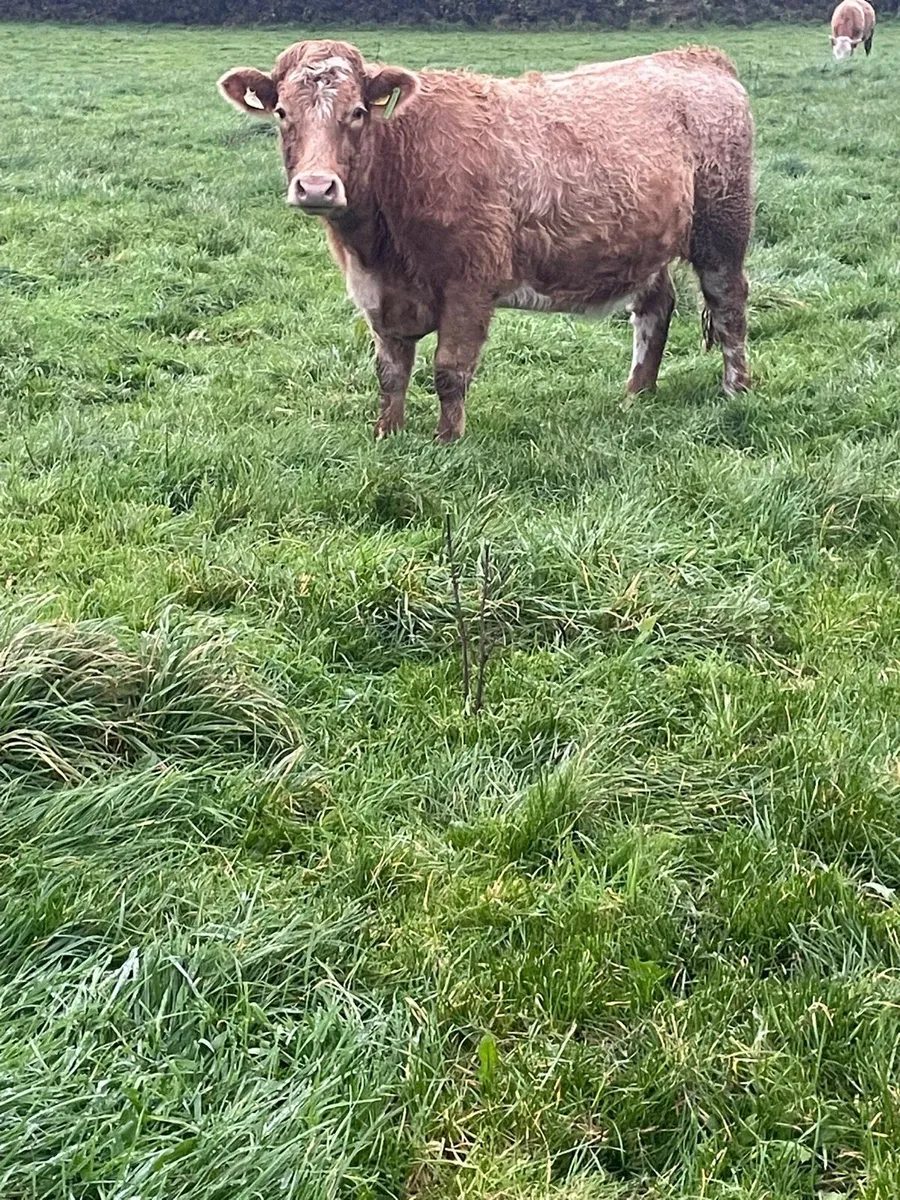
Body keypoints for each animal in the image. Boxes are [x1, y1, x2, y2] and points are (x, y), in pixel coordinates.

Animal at [219, 41, 754, 442]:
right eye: (282, 112)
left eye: (356, 112)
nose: (315, 187)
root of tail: (697, 56)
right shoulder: (378, 294)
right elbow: (391, 373)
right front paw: (387, 435)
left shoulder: (469, 285)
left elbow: (449, 371)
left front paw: (446, 442)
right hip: (644, 244)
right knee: (654, 309)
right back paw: (635, 397)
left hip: (722, 230)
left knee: (728, 305)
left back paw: (736, 392)